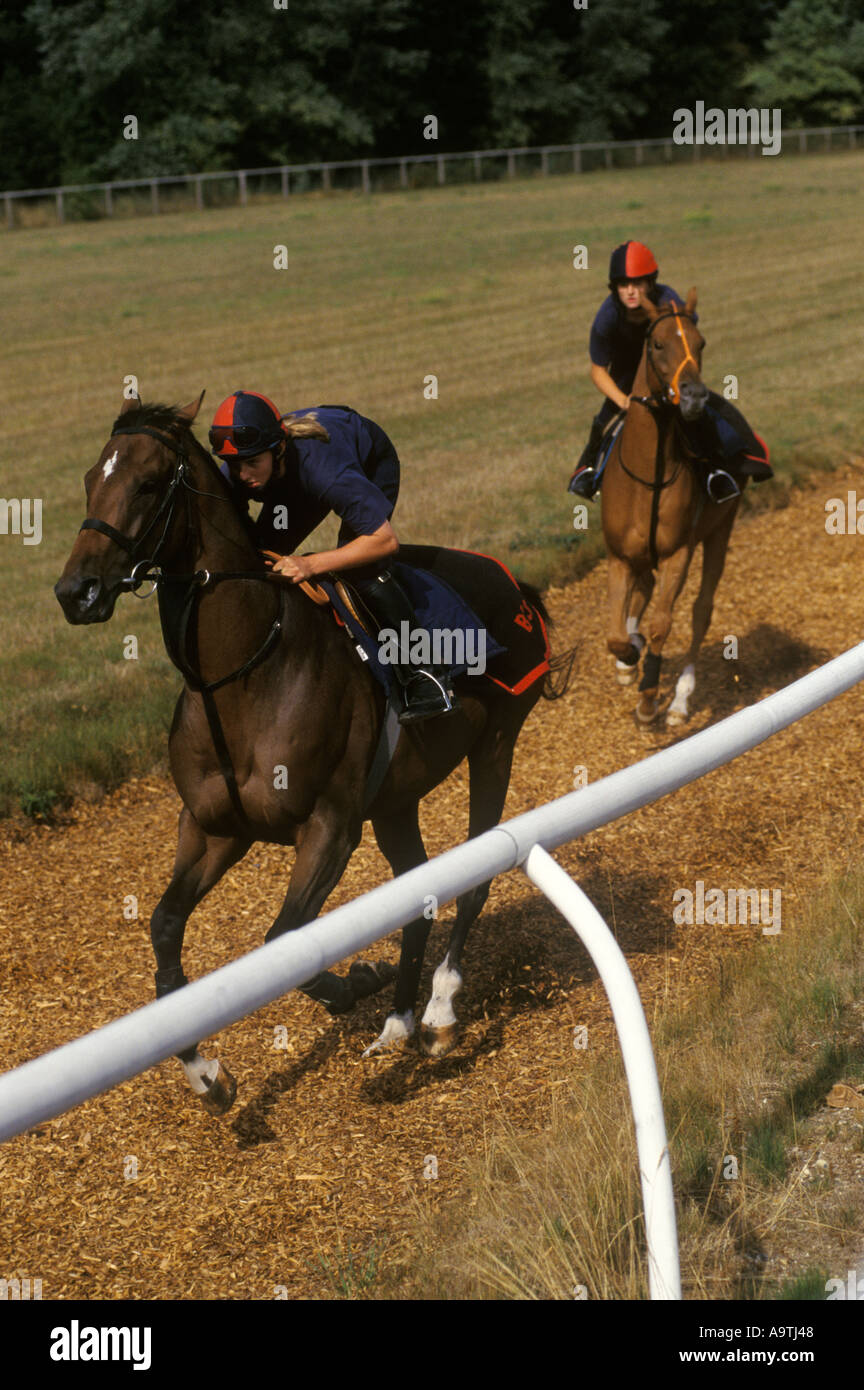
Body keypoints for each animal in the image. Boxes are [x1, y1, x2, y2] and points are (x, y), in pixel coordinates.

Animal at [55, 392, 574, 1115]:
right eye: (88, 479)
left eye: (149, 483)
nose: (75, 591)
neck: (246, 674)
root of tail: (516, 583)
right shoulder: (213, 828)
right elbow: (164, 929)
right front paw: (206, 1073)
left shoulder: (330, 826)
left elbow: (283, 941)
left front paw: (355, 980)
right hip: (395, 799)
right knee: (418, 891)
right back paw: (399, 1020)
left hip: (496, 746)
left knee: (475, 876)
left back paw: (438, 1011)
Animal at [601, 289, 741, 725]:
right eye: (659, 344)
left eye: (701, 343)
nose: (695, 396)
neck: (649, 477)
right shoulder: (619, 556)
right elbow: (615, 633)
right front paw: (628, 655)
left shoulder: (679, 551)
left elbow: (663, 624)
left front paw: (649, 699)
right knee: (644, 589)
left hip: (720, 529)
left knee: (701, 610)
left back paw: (680, 700)